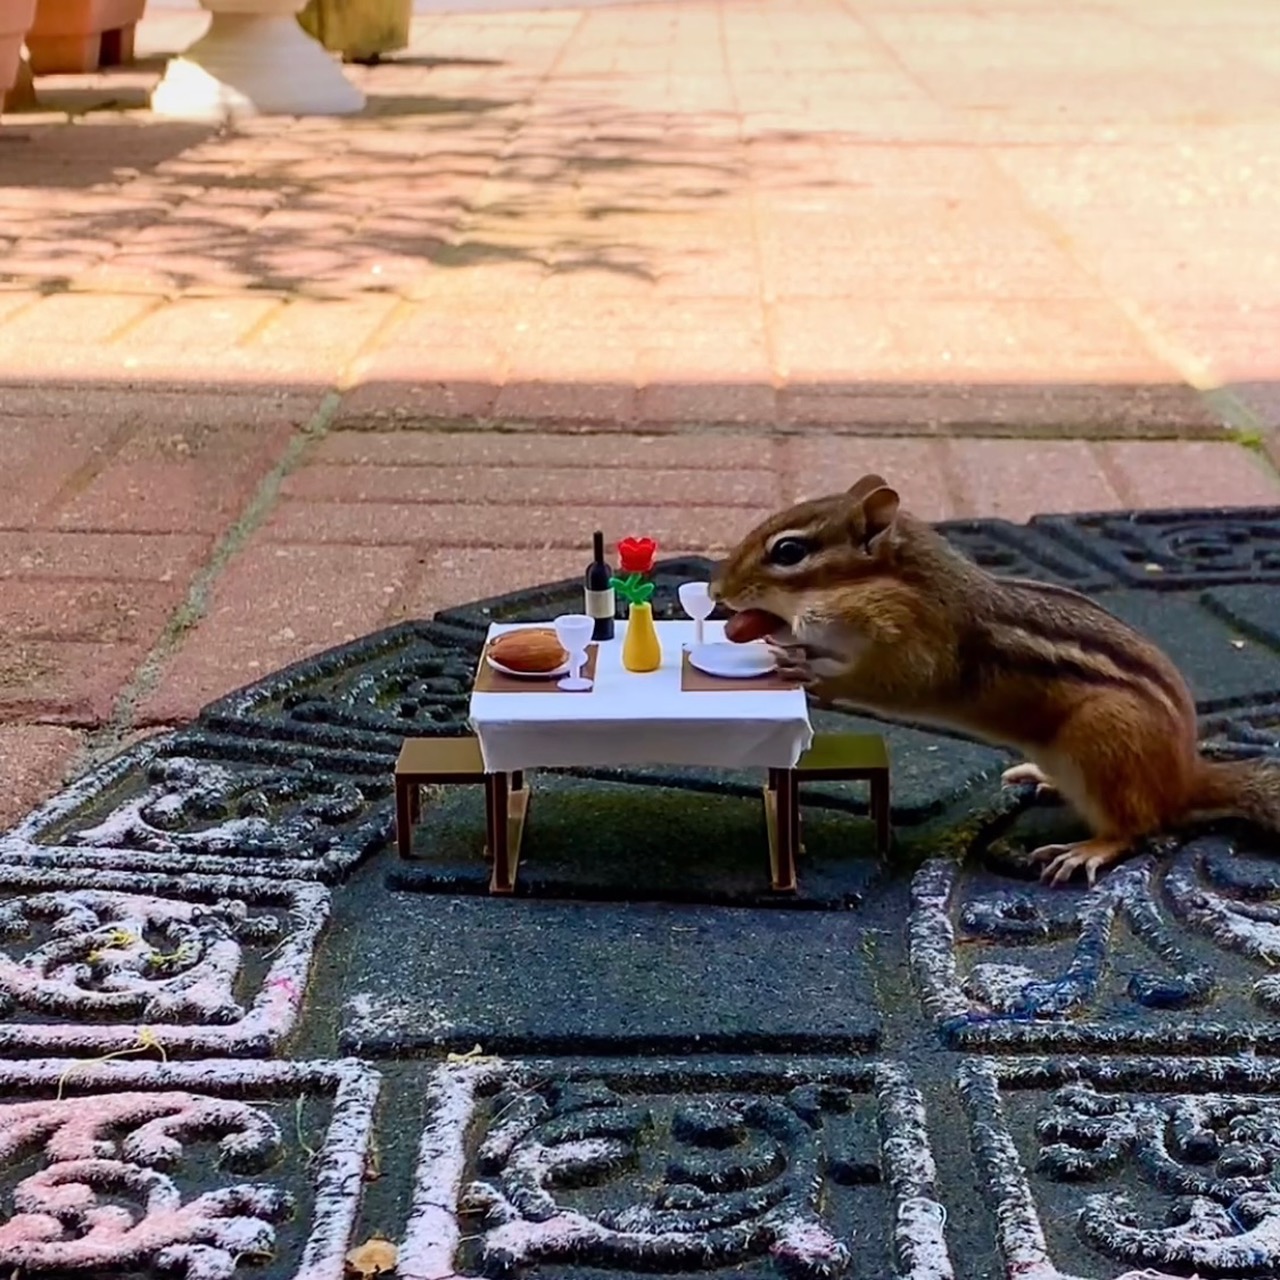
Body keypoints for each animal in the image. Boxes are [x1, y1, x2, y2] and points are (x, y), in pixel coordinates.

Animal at [710, 473, 1280, 886]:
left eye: (788, 552)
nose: (717, 589)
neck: (884, 586)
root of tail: (1185, 775)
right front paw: (789, 648)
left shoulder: (919, 647)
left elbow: (885, 682)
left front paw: (811, 673)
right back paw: (1041, 778)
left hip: (1102, 739)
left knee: (1138, 828)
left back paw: (1087, 849)